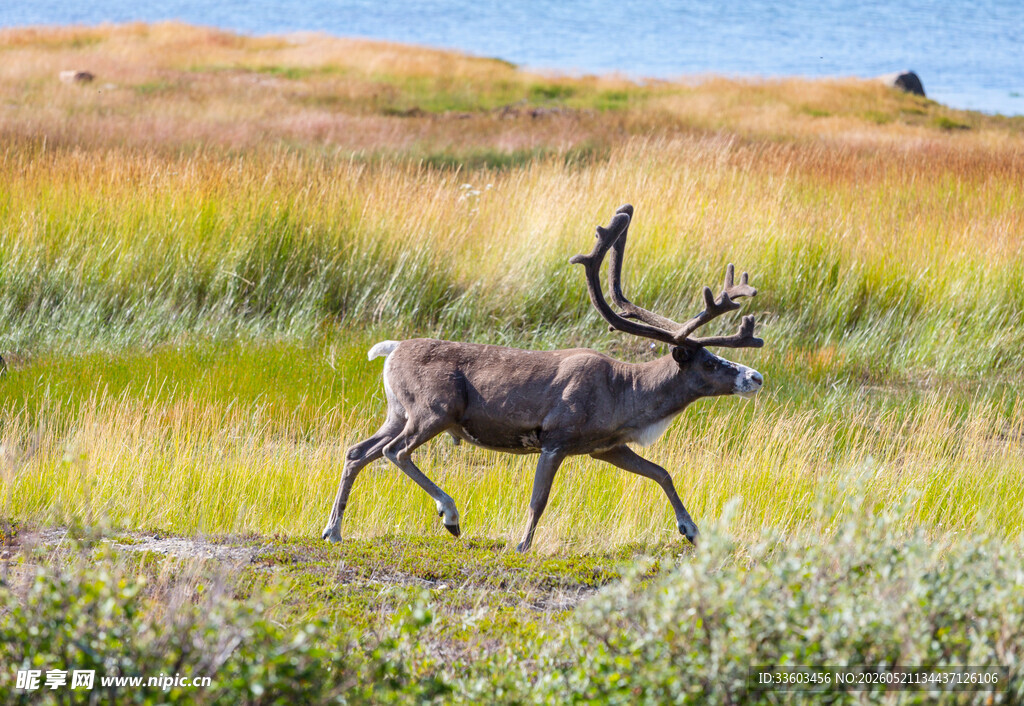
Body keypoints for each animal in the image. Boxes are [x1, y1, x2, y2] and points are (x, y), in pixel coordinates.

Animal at [321, 204, 765, 552]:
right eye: (708, 363)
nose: (756, 377)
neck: (626, 393)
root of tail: (391, 350)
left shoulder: (606, 447)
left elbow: (661, 472)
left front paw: (691, 529)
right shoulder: (556, 439)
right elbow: (539, 500)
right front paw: (522, 544)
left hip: (397, 411)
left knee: (358, 451)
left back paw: (333, 530)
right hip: (435, 411)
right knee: (394, 451)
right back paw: (450, 515)